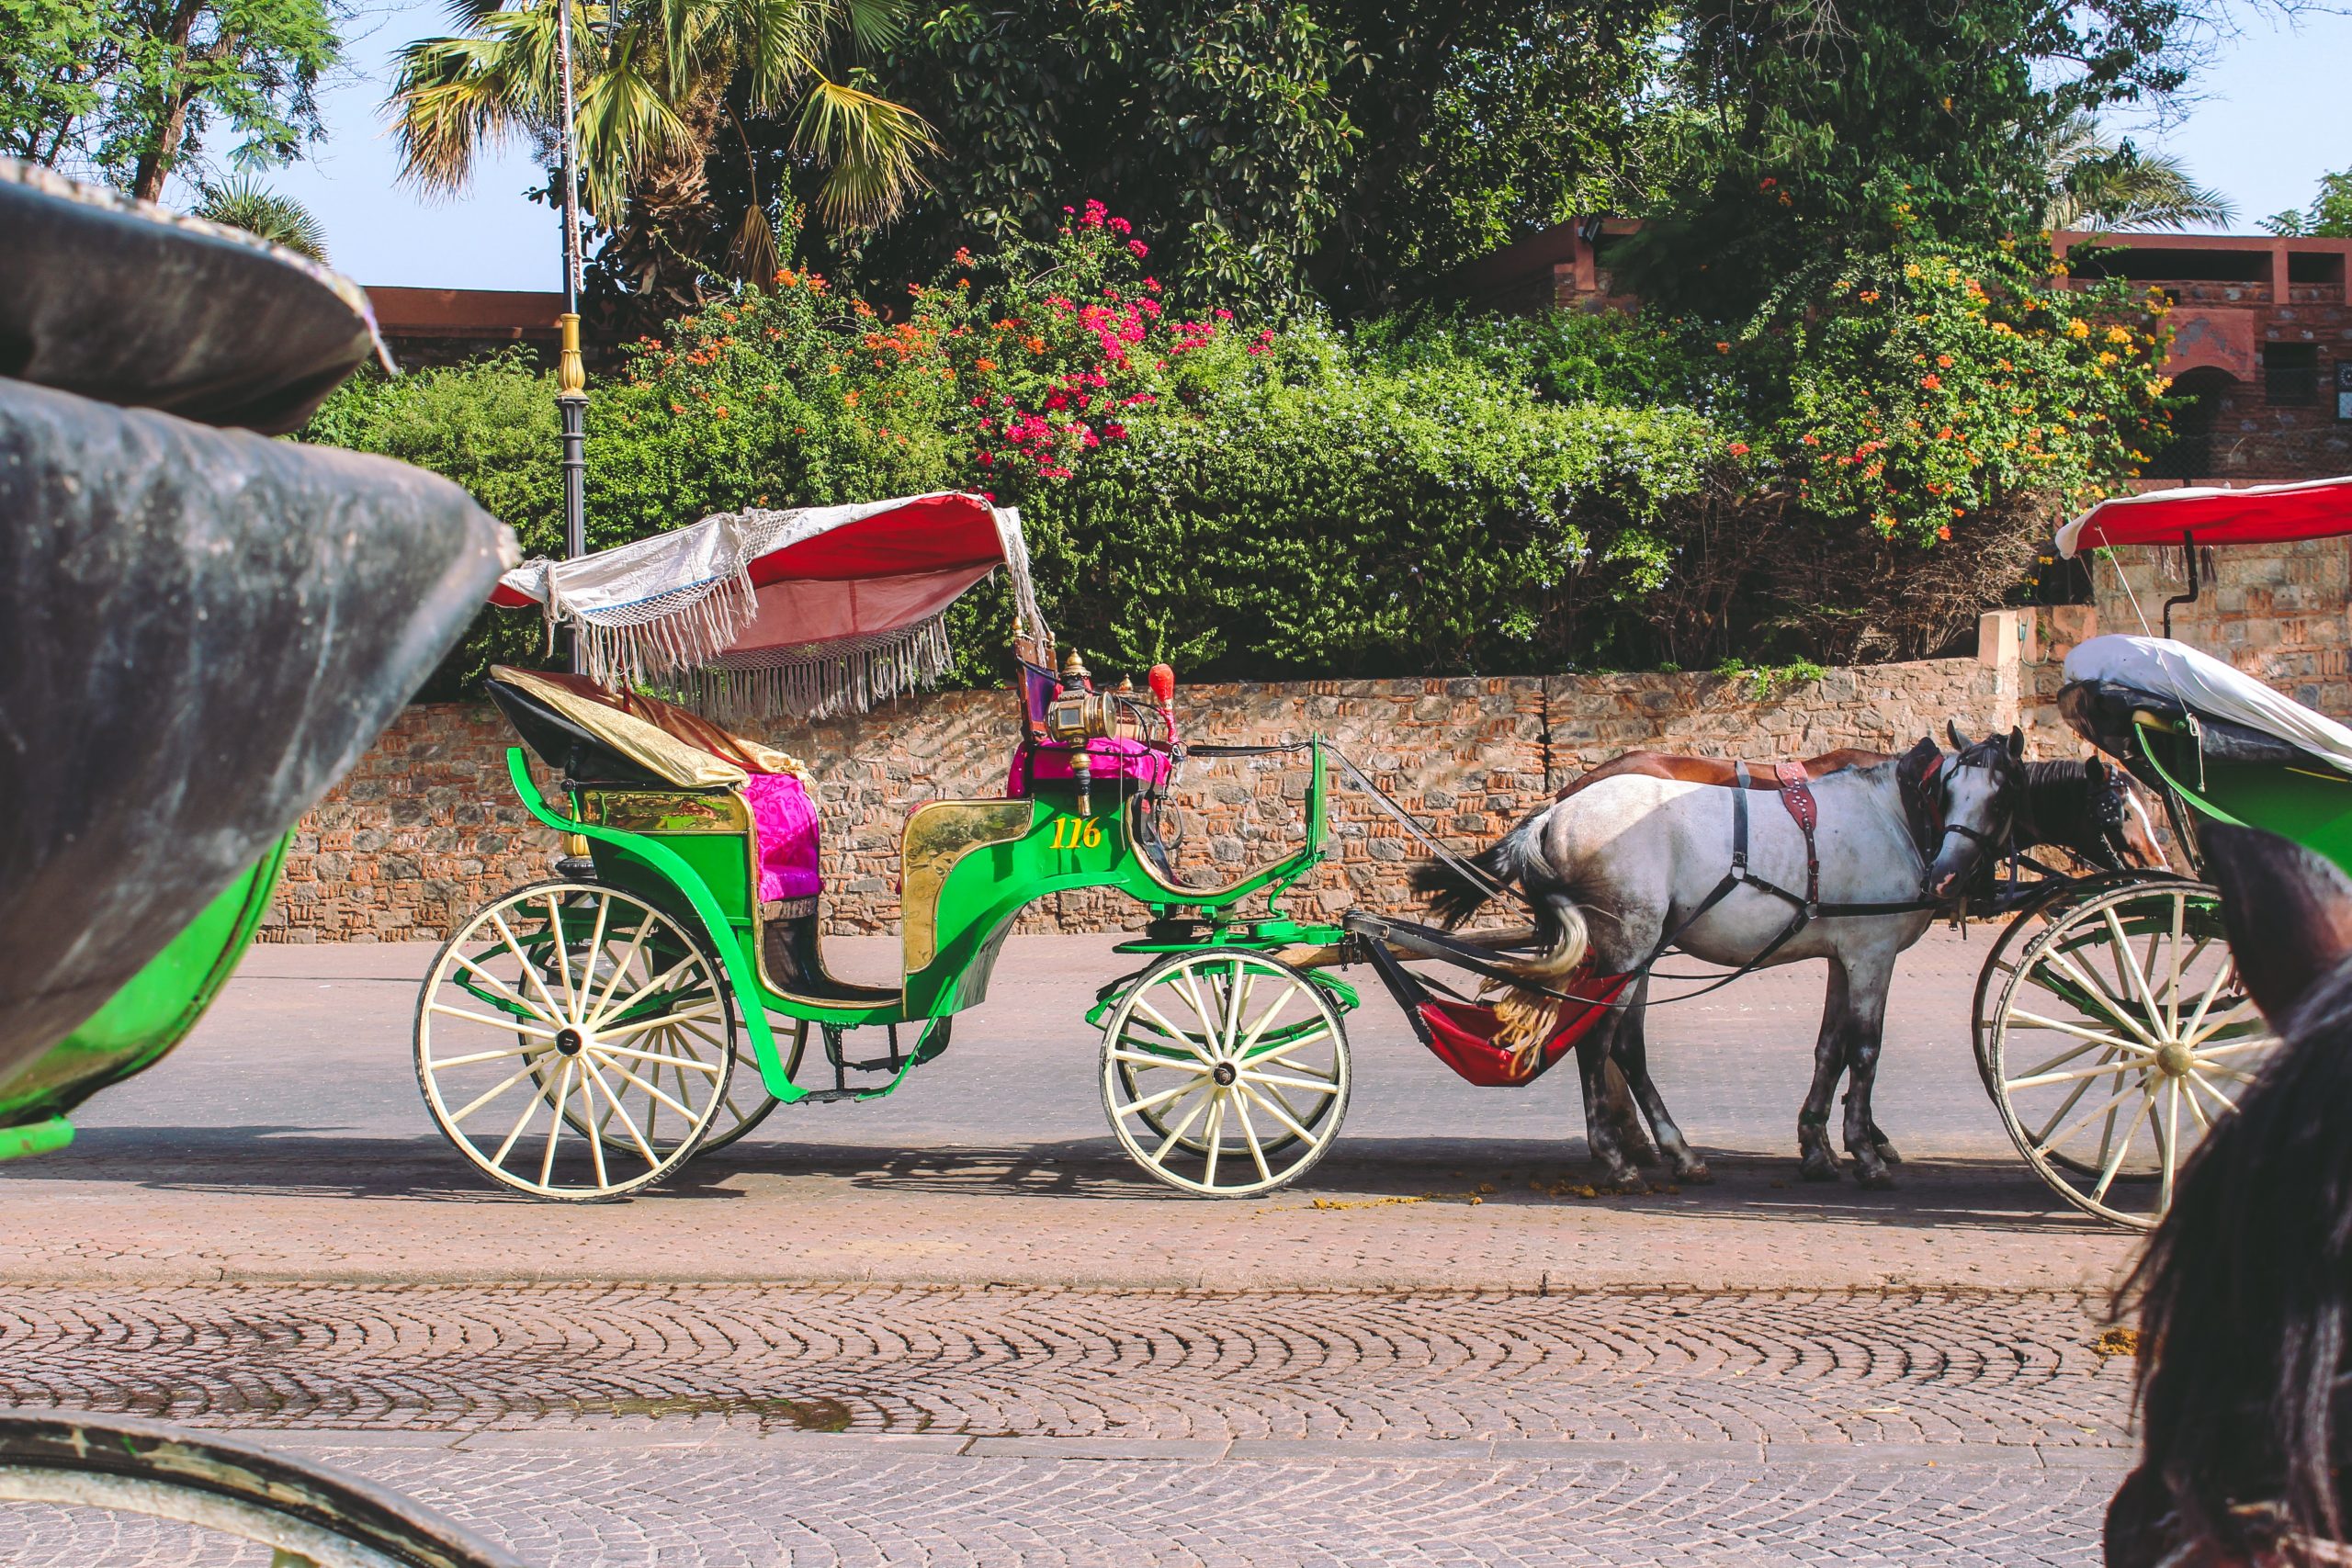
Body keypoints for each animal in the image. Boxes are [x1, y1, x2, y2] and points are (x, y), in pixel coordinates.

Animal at [1411, 728, 2022, 1184]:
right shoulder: (1873, 953)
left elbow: (1831, 1047)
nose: (1947, 875)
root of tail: (1557, 812)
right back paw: (1618, 1155)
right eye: (1952, 791)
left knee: (1622, 1044)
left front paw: (1820, 1146)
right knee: (1599, 1040)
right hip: (1628, 943)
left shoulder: (1843, 954)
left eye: (2000, 796)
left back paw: (1665, 1147)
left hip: (1635, 948)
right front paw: (1865, 1150)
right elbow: (1866, 1049)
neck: (1896, 812)